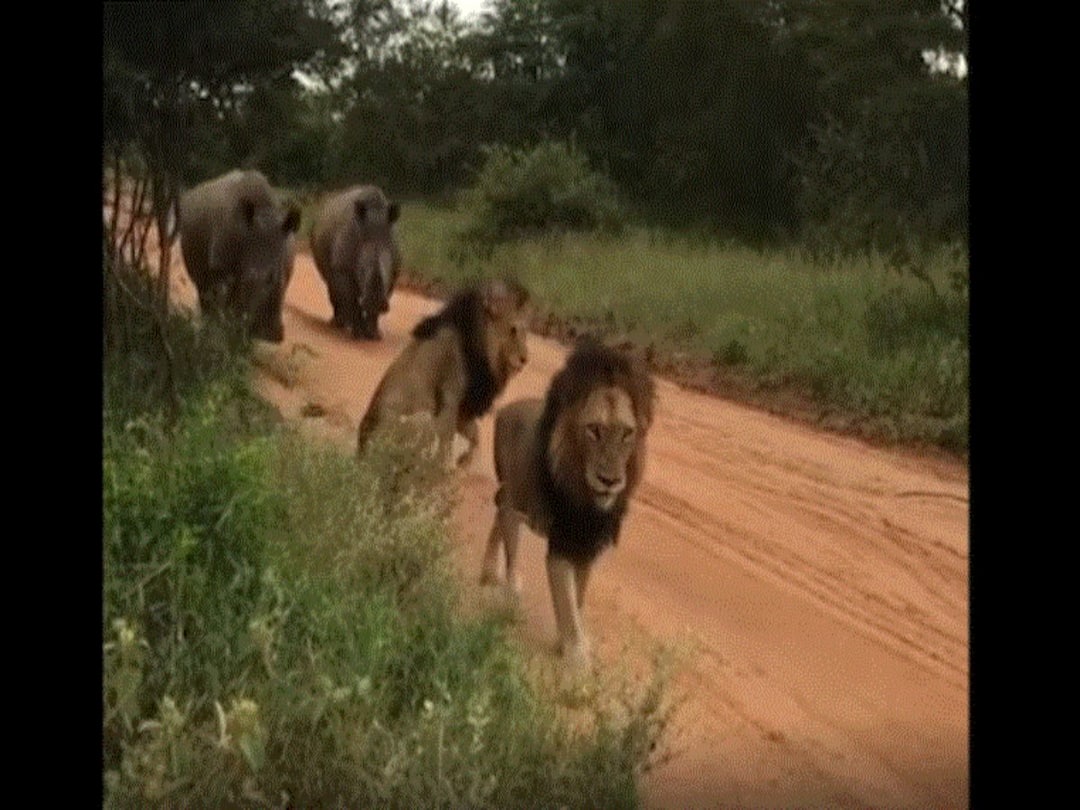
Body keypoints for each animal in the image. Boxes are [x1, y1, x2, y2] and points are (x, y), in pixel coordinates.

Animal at [179, 169, 300, 343]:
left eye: (271, 278)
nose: (248, 324)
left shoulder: (283, 265)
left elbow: (279, 290)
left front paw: (266, 336)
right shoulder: (221, 264)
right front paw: (229, 329)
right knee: (204, 287)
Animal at [310, 185, 401, 340]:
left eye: (386, 270)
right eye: (362, 270)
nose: (373, 300)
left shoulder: (393, 272)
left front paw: (373, 335)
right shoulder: (342, 268)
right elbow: (351, 299)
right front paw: (358, 334)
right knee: (332, 285)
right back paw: (338, 324)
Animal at [356, 278, 531, 468]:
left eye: (526, 331)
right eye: (513, 329)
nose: (525, 359)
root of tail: (361, 455)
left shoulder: (464, 411)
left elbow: (475, 437)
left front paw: (464, 461)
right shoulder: (451, 396)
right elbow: (446, 440)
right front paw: (444, 467)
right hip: (421, 418)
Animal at [480, 336, 656, 666]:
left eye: (627, 433)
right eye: (594, 430)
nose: (609, 480)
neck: (587, 503)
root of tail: (507, 409)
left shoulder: (584, 545)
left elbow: (578, 598)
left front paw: (564, 643)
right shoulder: (561, 544)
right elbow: (567, 603)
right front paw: (577, 657)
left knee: (498, 516)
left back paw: (488, 573)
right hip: (514, 496)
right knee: (506, 525)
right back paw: (508, 587)